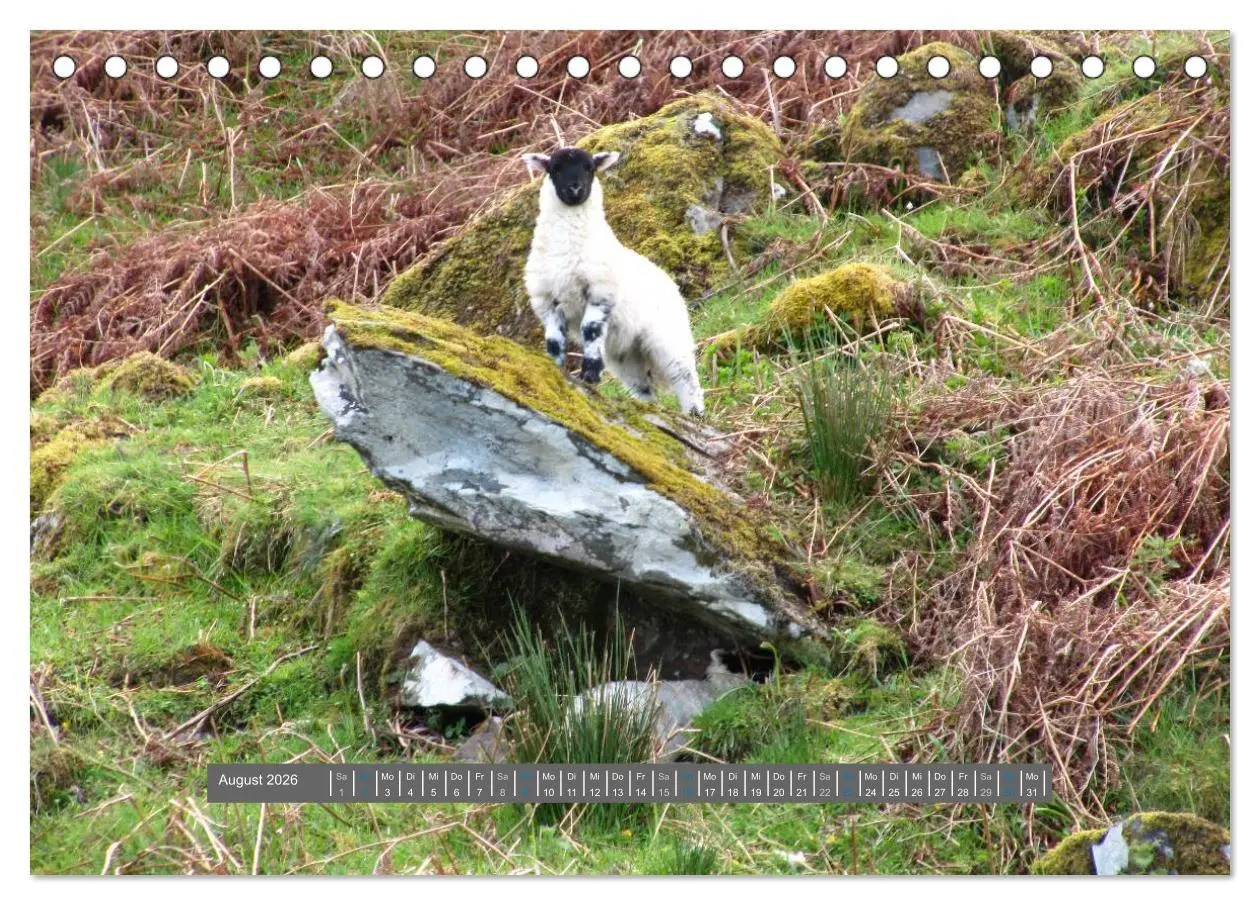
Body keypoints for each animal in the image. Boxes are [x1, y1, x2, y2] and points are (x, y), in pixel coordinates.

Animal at [520, 147, 706, 416]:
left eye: (590, 168)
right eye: (555, 169)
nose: (575, 189)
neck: (567, 246)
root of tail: (670, 282)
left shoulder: (600, 291)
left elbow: (590, 330)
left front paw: (590, 374)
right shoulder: (547, 300)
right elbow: (554, 341)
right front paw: (554, 368)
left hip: (668, 335)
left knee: (685, 377)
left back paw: (694, 414)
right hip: (626, 353)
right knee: (643, 386)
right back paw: (645, 408)